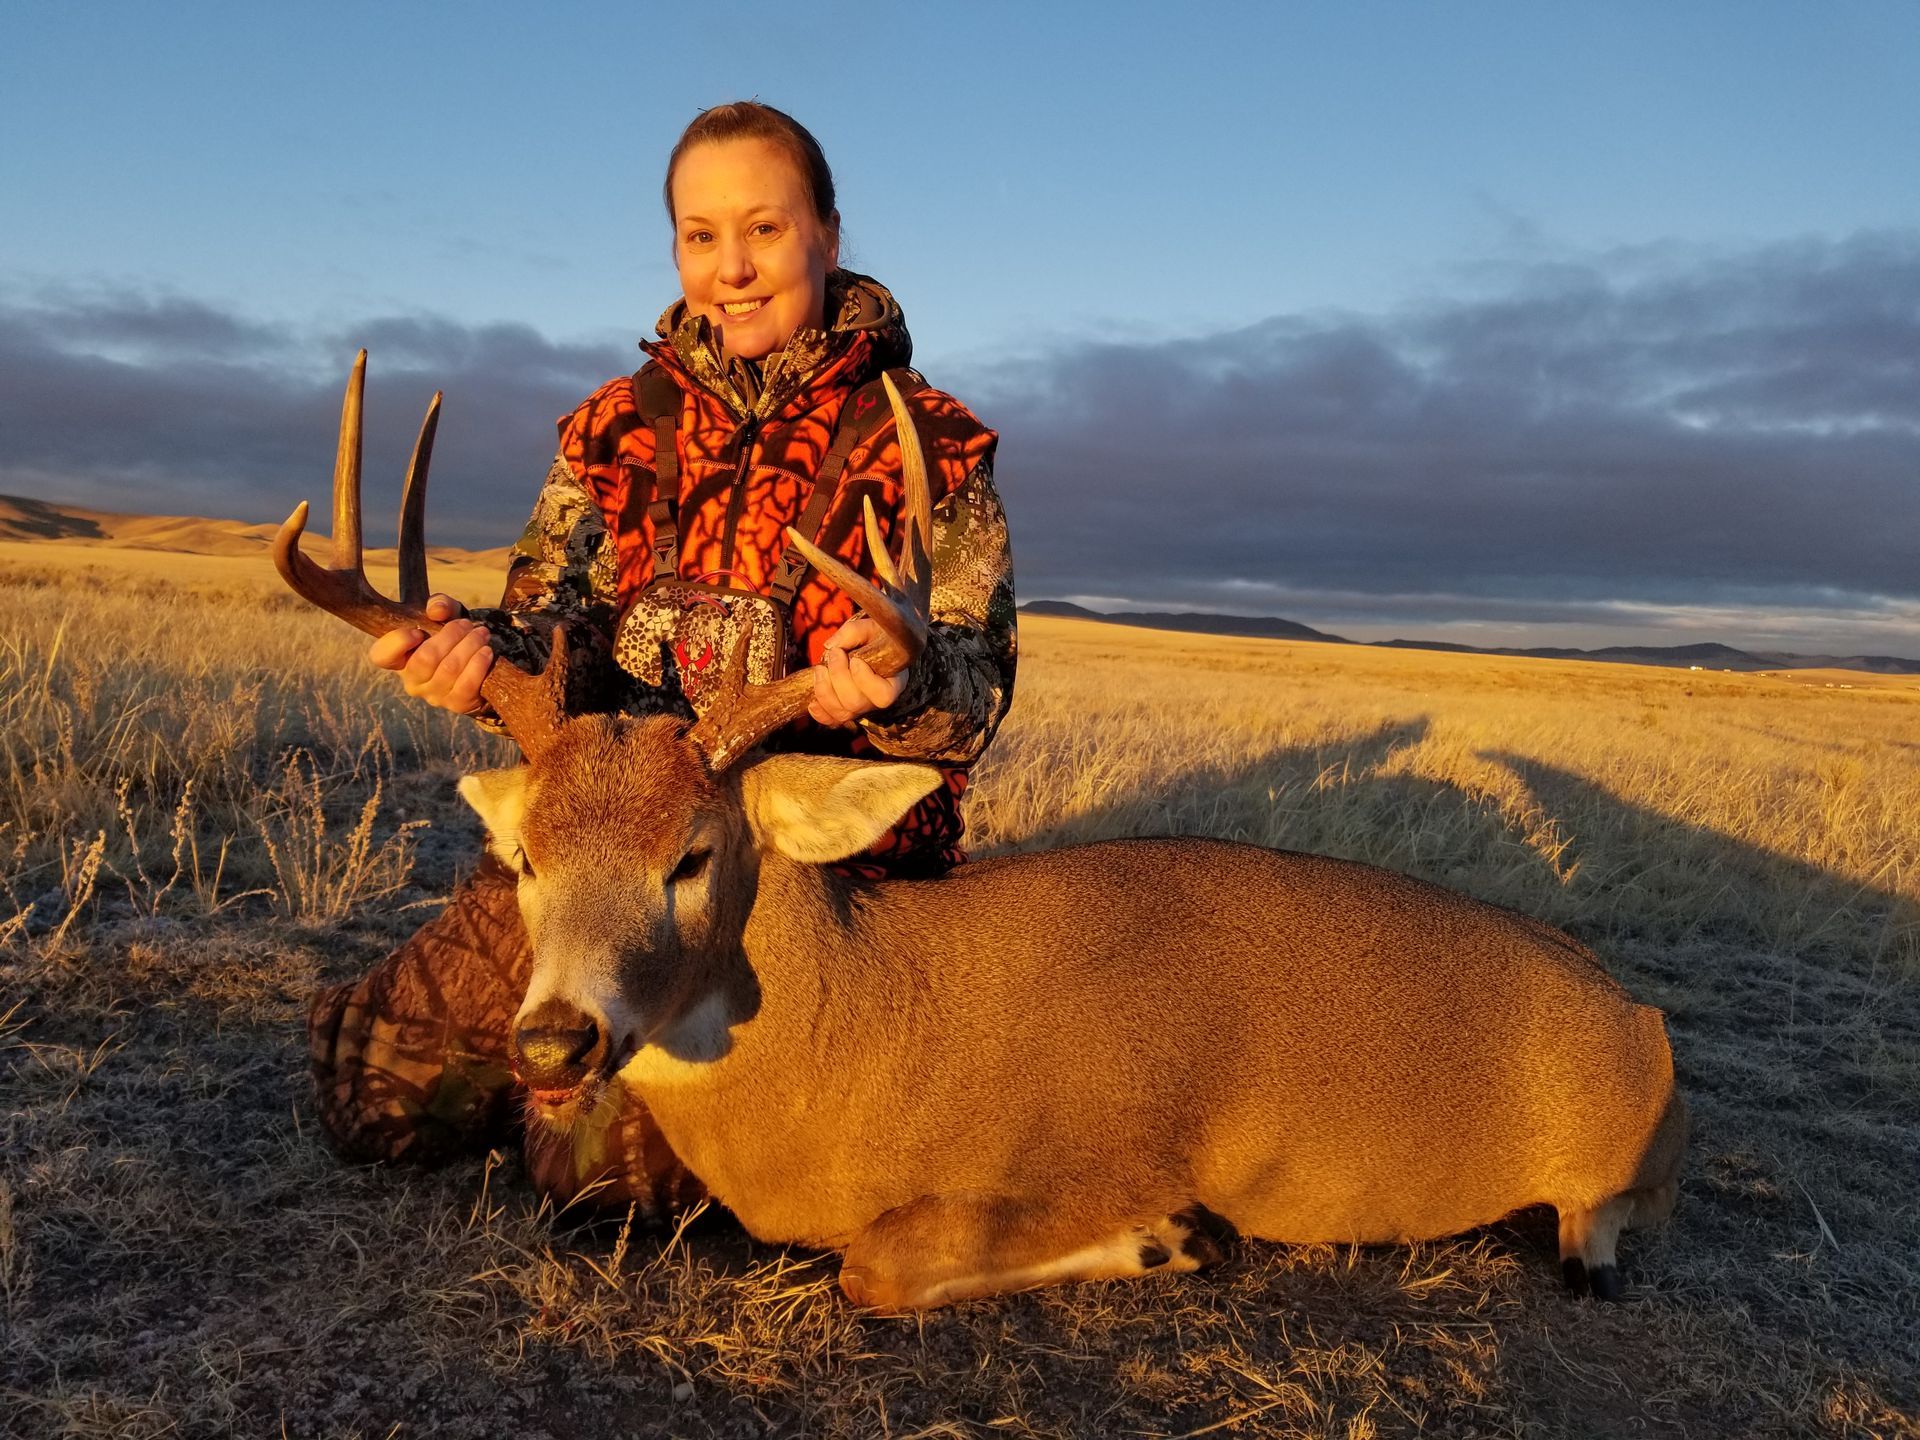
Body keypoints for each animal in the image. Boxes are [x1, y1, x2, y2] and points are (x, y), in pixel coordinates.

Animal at [276, 352, 1686, 1310]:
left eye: (692, 854)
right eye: (524, 858)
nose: (556, 1039)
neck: (863, 1033)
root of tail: (1638, 1018)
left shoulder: (1092, 1153)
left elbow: (880, 1263)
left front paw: (1164, 1239)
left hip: (1613, 1157)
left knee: (1615, 1213)